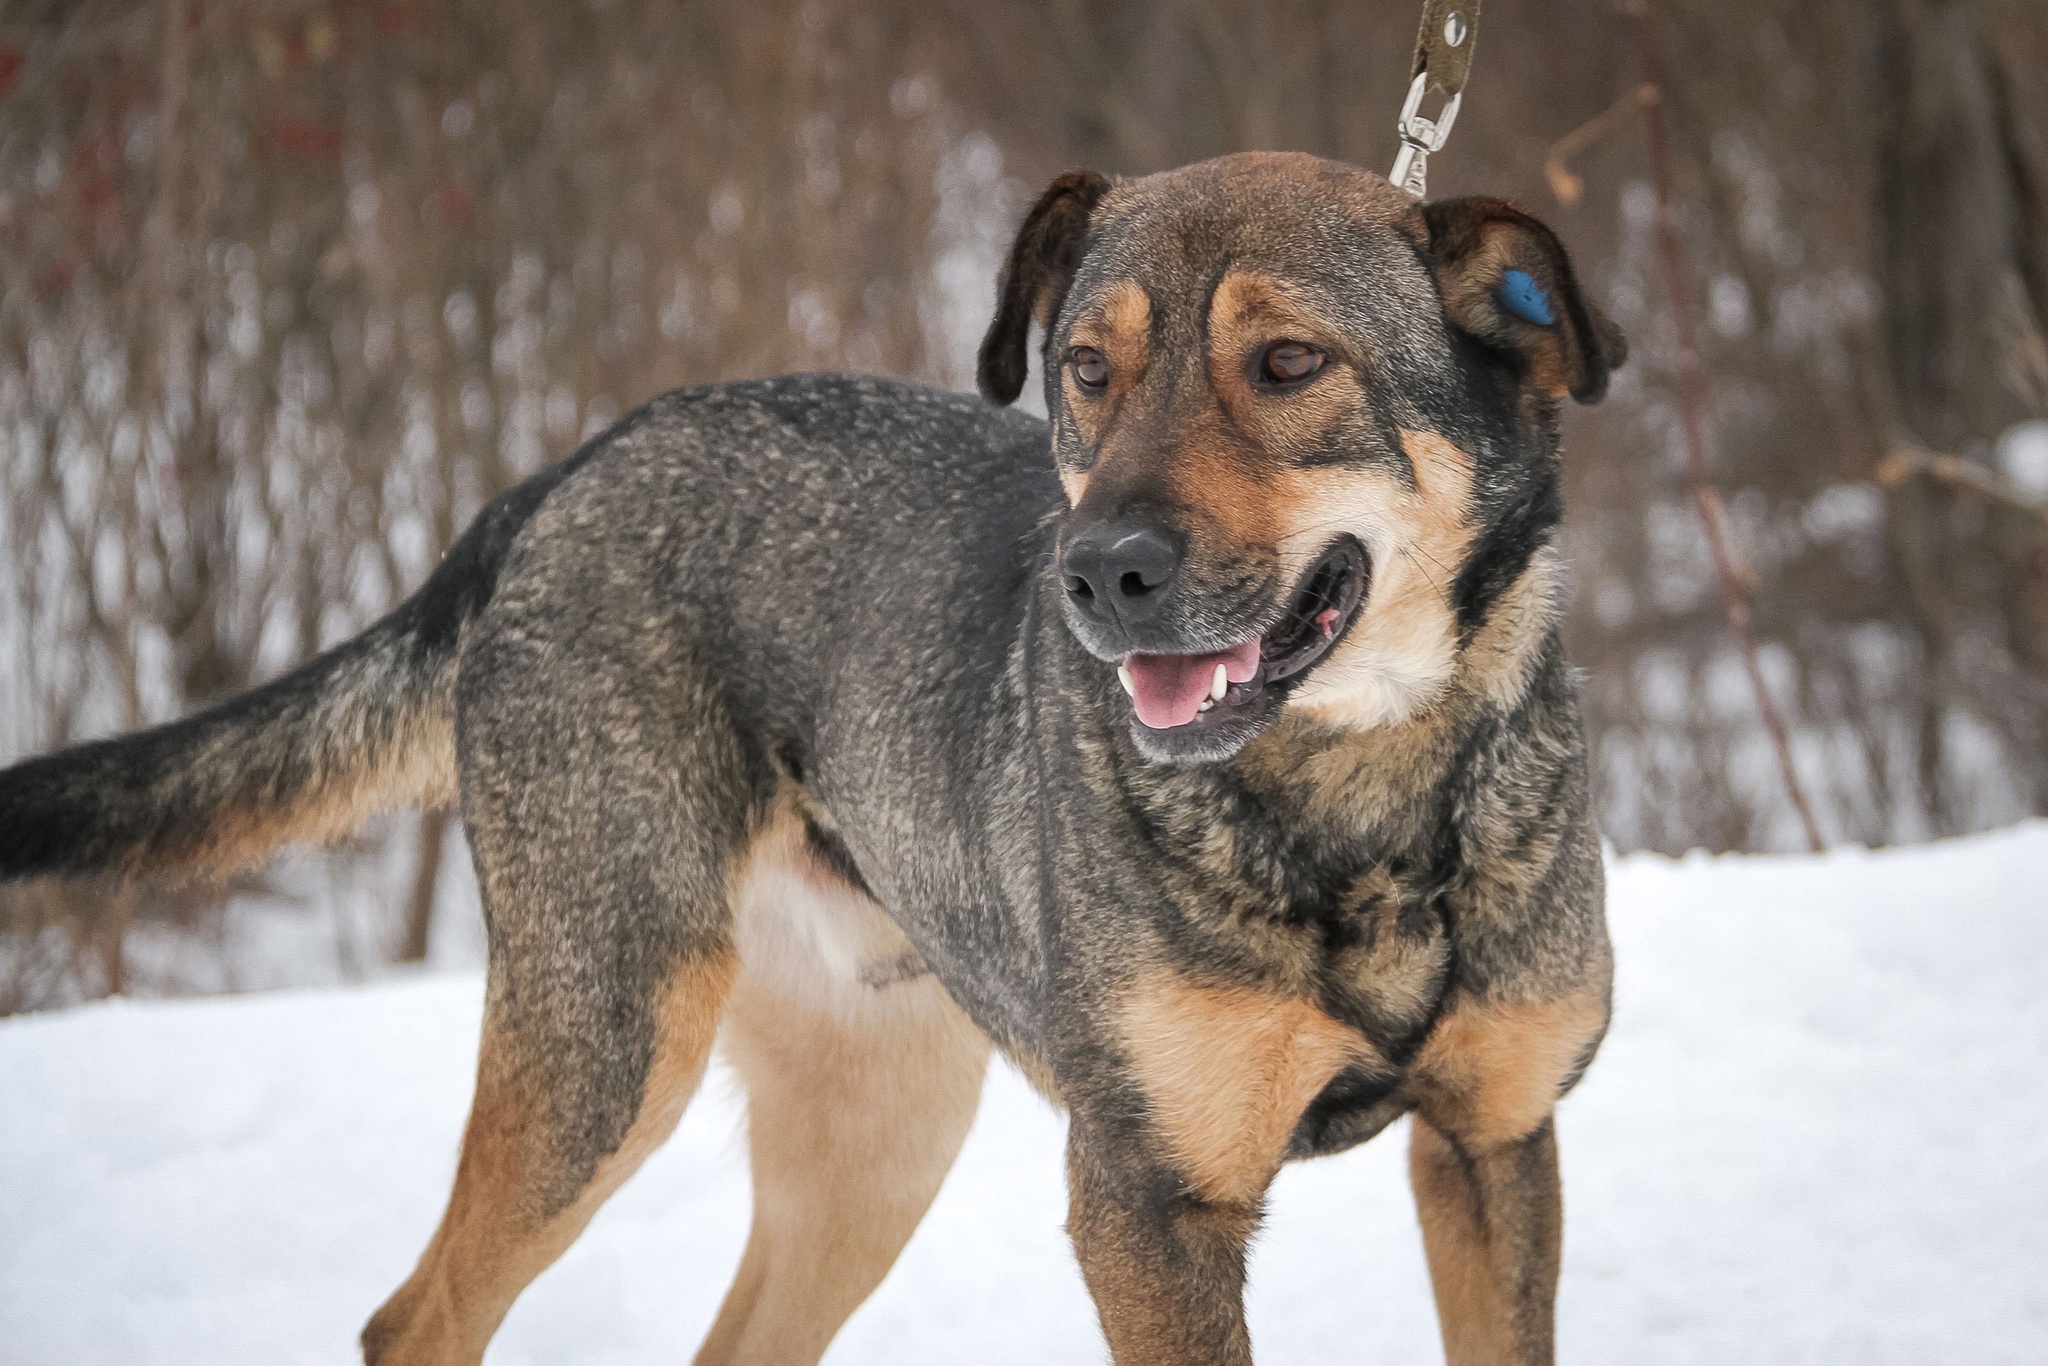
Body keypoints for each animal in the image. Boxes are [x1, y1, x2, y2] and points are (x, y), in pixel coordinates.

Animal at [4, 154, 1630, 1359]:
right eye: (1085, 370)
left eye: (1290, 362)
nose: (1095, 578)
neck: (1366, 797)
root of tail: (565, 471)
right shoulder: (1148, 1205)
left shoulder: (1494, 1148)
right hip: (611, 1040)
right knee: (415, 1320)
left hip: (877, 1129)